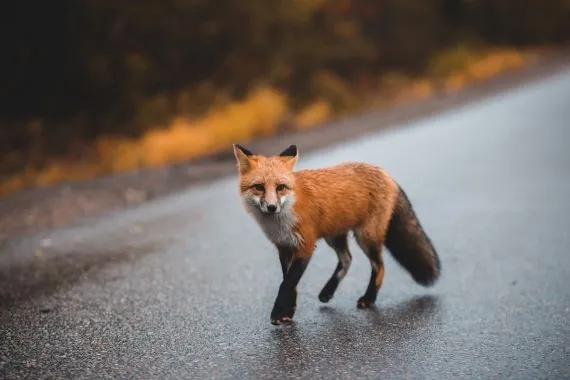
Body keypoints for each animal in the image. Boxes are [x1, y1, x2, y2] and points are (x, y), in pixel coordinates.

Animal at [231, 144, 440, 326]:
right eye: (259, 187)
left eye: (280, 187)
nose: (272, 207)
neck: (282, 219)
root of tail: (385, 173)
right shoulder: (284, 247)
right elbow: (289, 282)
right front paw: (288, 311)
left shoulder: (305, 246)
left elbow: (287, 284)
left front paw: (278, 313)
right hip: (334, 237)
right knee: (347, 259)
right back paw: (328, 291)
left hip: (365, 237)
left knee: (379, 266)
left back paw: (369, 298)